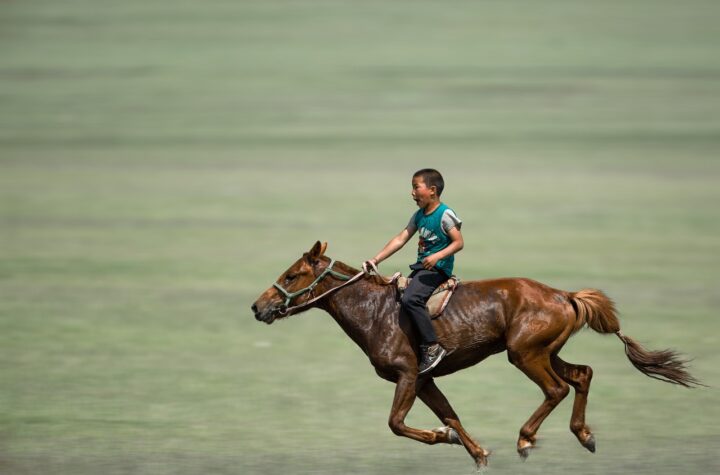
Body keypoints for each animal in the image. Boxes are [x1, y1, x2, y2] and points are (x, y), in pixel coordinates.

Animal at [252, 244, 696, 466]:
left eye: (293, 274)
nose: (258, 307)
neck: (375, 311)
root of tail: (564, 295)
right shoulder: (426, 380)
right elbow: (451, 415)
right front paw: (477, 452)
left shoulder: (408, 375)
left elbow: (397, 423)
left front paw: (444, 438)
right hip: (545, 351)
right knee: (582, 374)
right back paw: (584, 436)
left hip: (524, 354)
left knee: (556, 389)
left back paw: (526, 439)